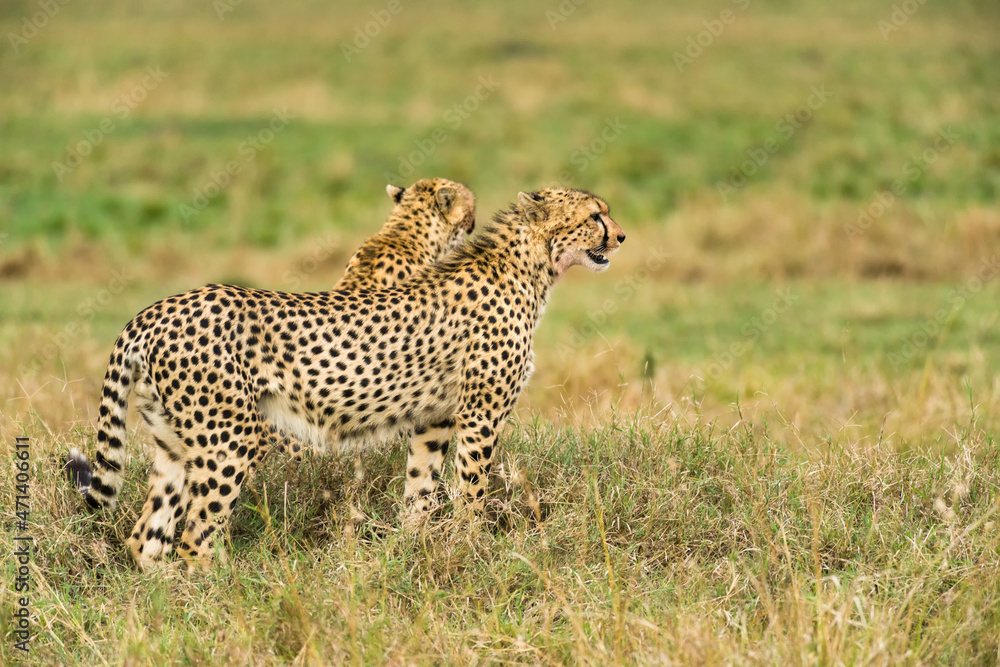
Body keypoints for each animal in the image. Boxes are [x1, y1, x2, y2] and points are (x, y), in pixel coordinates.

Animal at [68, 187, 625, 570]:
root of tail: (156, 309)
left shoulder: (436, 419)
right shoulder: (478, 416)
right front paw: (474, 550)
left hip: (174, 442)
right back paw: (223, 599)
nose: (620, 237)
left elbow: (421, 489)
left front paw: (413, 550)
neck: (531, 268)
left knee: (147, 536)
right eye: (594, 215)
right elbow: (472, 491)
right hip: (230, 439)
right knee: (195, 537)